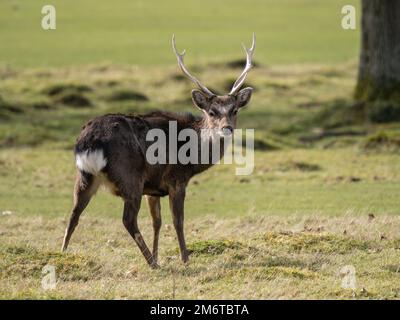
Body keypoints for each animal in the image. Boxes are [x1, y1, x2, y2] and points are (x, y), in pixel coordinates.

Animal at [61, 33, 256, 268]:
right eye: (212, 111)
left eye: (234, 110)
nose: (227, 128)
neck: (193, 157)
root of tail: (90, 140)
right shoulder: (176, 179)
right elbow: (178, 221)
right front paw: (184, 259)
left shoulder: (152, 188)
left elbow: (157, 222)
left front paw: (158, 254)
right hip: (130, 176)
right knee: (128, 220)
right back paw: (151, 263)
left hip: (85, 176)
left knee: (74, 213)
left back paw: (62, 254)